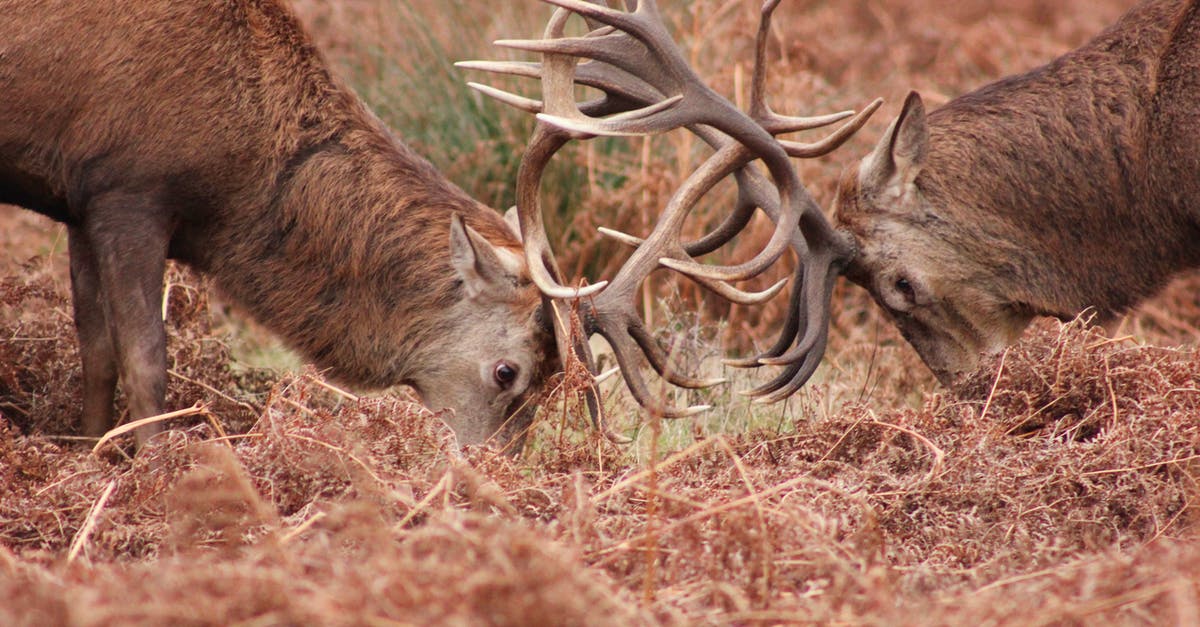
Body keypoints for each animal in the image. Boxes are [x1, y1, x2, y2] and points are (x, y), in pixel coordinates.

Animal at [2, 1, 883, 449]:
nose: (490, 475)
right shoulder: (128, 186)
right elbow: (146, 358)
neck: (234, 175)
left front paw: (84, 452)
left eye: (557, 385)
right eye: (508, 372)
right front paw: (148, 469)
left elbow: (94, 349)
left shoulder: (80, 200)